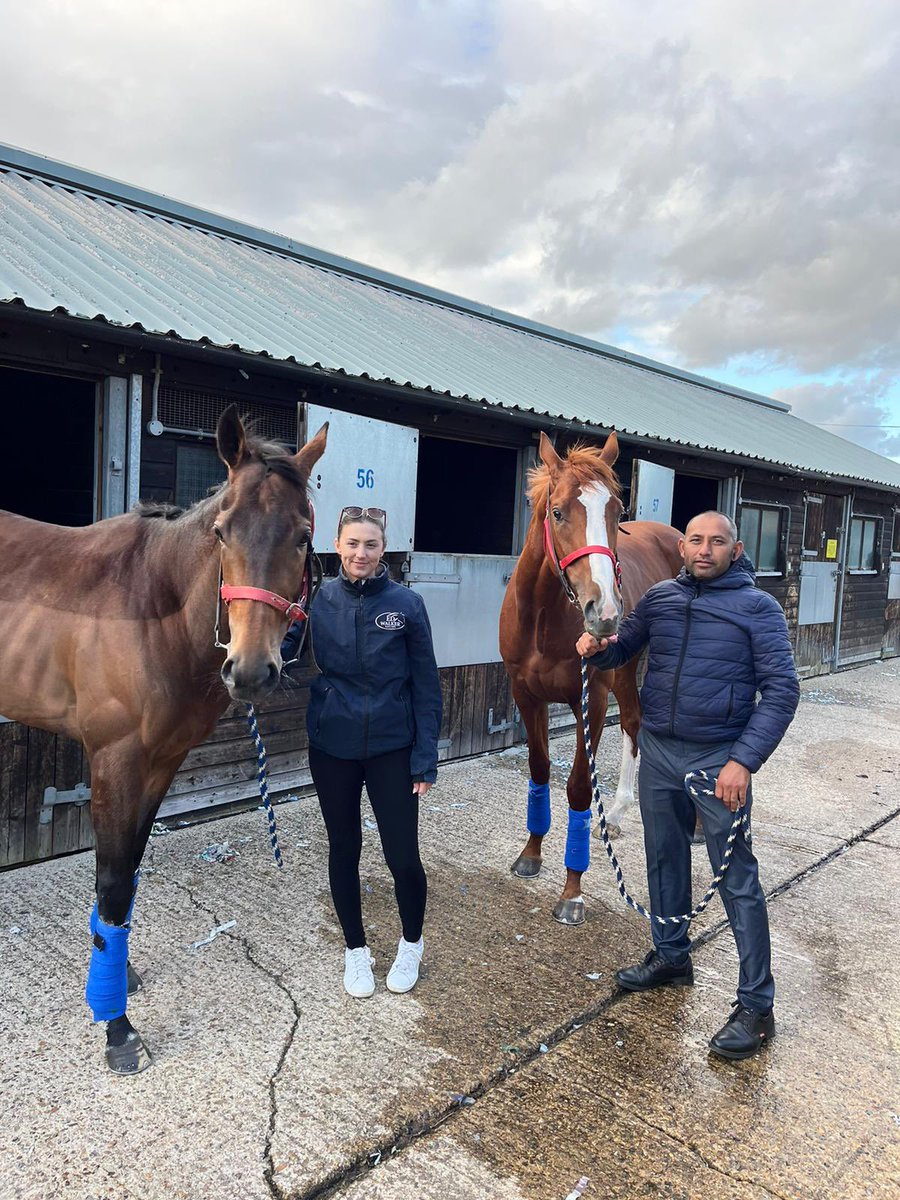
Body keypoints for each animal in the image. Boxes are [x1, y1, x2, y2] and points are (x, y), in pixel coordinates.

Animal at [0, 408, 328, 1075]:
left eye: (304, 535)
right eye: (223, 531)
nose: (250, 671)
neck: (153, 607)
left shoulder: (161, 763)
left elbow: (128, 872)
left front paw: (117, 970)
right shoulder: (114, 761)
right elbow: (112, 881)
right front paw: (116, 1025)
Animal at [501, 432, 681, 916]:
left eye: (618, 512)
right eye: (558, 512)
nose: (605, 612)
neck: (544, 618)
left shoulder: (591, 703)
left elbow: (580, 788)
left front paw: (572, 891)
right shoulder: (525, 695)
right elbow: (540, 769)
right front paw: (531, 854)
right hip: (623, 668)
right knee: (634, 720)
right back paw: (616, 816)